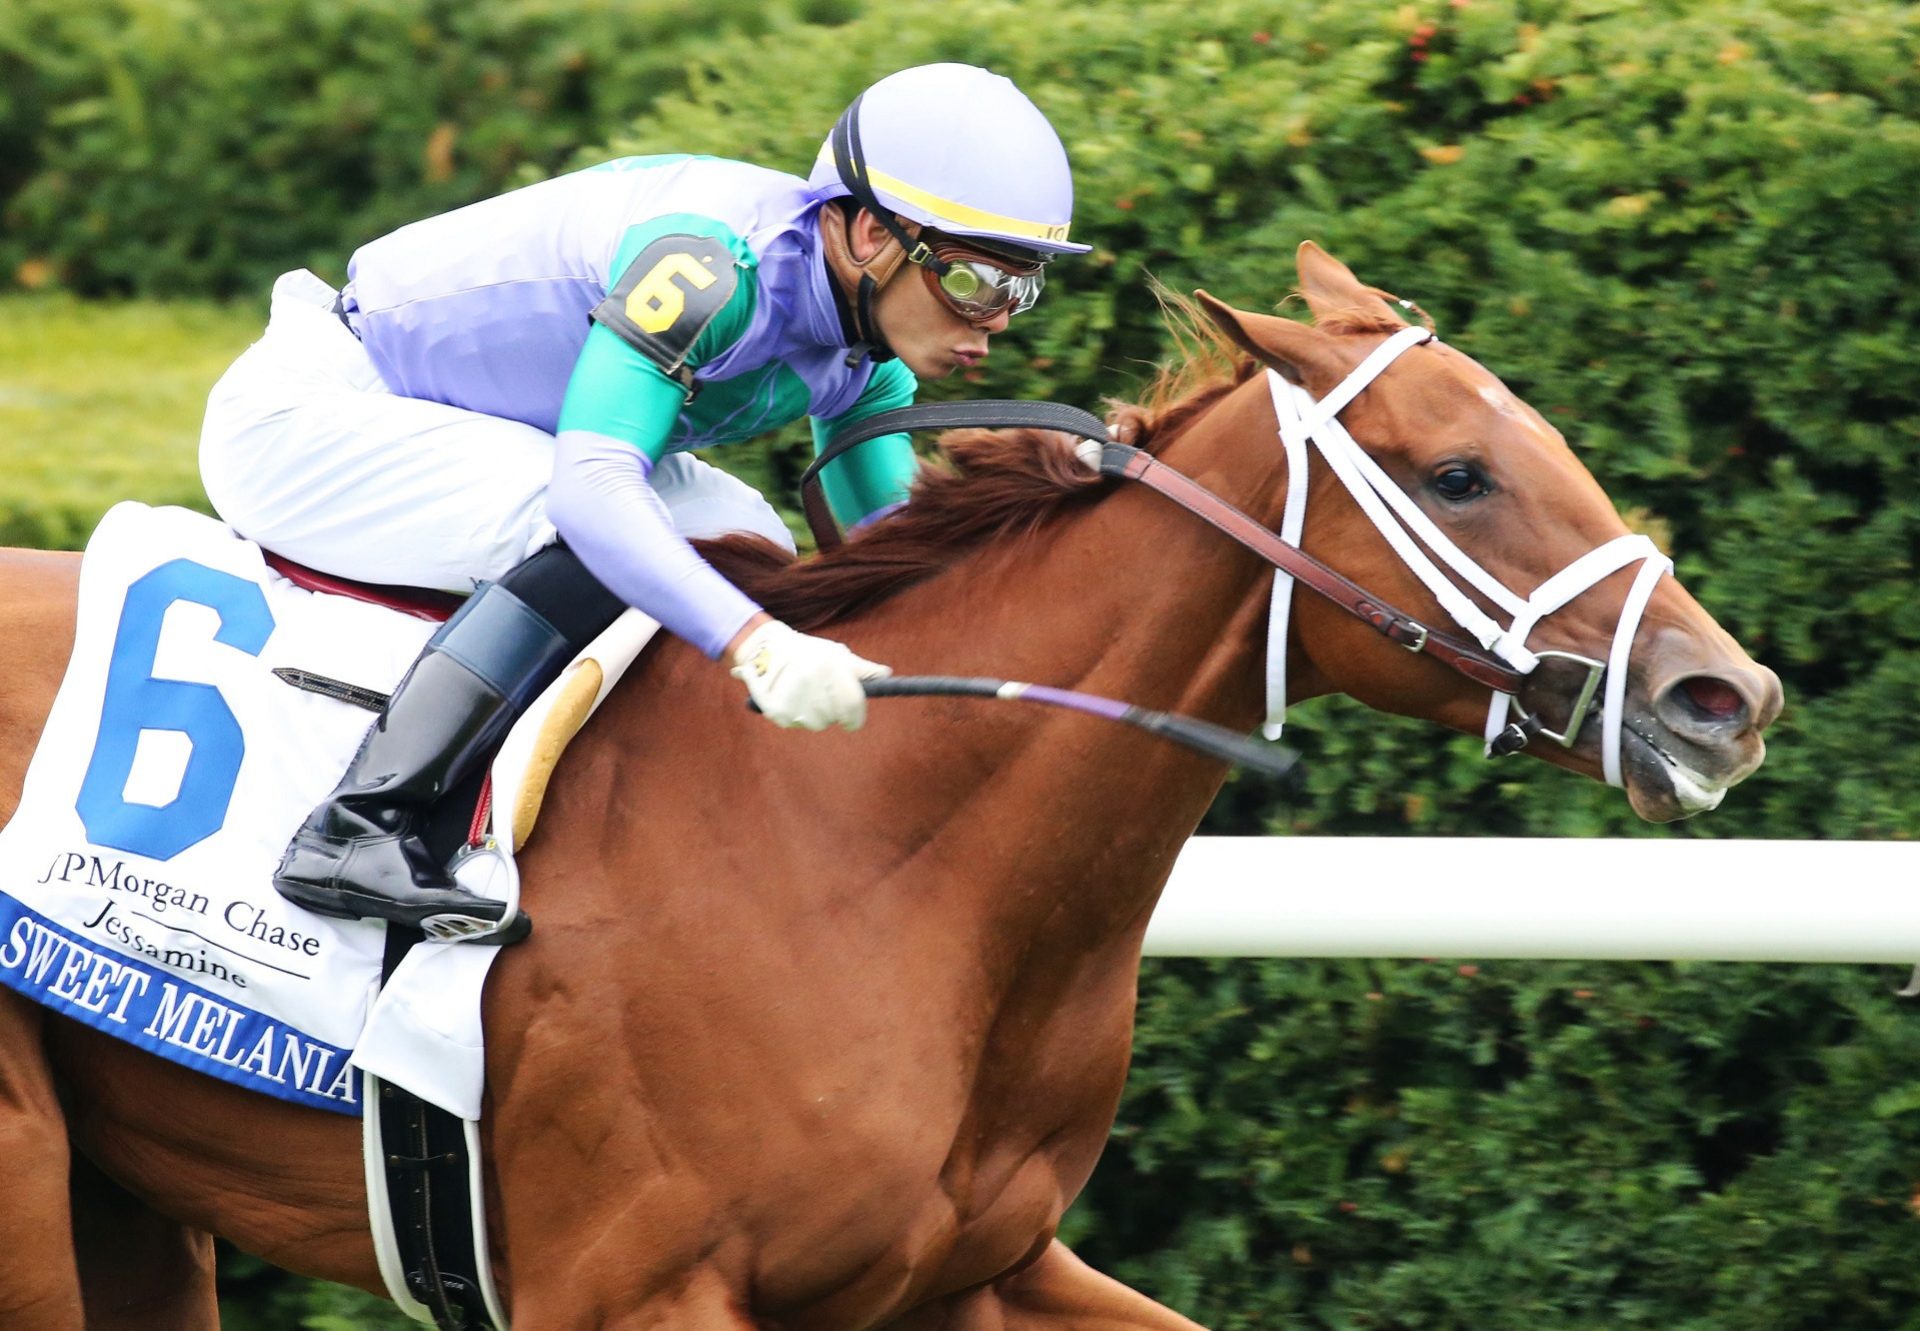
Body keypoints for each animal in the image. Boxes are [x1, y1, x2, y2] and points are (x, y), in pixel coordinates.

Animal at [0, 243, 1781, 1321]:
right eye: (1461, 473)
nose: (1725, 698)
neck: (878, 853)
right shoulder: (630, 1291)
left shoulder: (977, 1268)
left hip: (130, 1201)